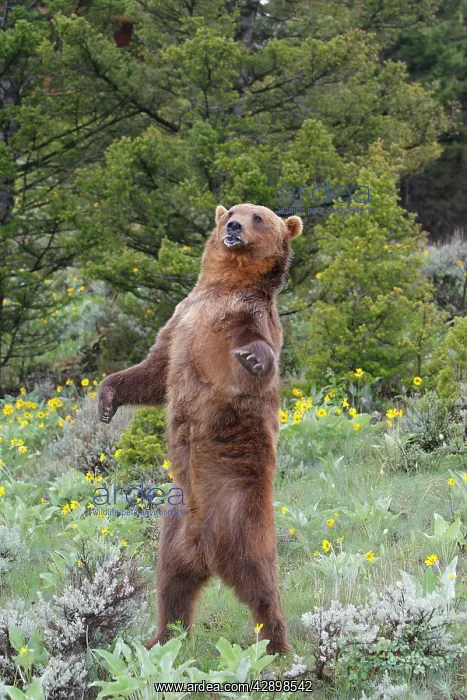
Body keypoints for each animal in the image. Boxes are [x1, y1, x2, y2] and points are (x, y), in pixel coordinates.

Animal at [98, 203, 303, 653]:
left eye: (259, 217)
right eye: (234, 211)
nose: (234, 226)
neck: (223, 286)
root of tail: (207, 550)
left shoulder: (245, 319)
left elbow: (254, 361)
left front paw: (254, 358)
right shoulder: (181, 319)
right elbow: (153, 371)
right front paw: (106, 400)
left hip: (243, 519)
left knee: (262, 585)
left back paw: (277, 646)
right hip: (172, 529)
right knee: (171, 586)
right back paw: (161, 638)